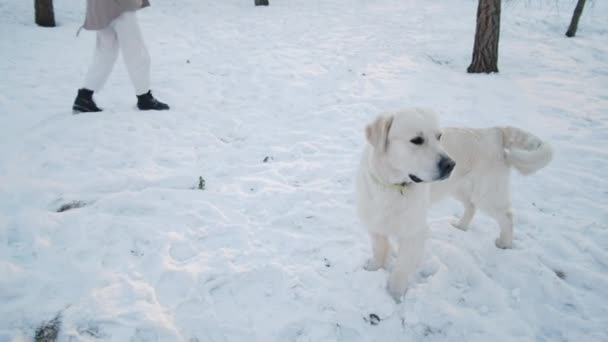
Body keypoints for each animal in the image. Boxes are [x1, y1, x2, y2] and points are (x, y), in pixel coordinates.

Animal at [356, 108, 552, 300]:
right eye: (417, 140)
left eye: (439, 137)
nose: (450, 164)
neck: (392, 186)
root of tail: (494, 132)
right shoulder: (375, 222)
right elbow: (379, 250)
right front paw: (373, 269)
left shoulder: (414, 233)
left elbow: (401, 269)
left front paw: (394, 295)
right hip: (459, 189)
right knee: (471, 206)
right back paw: (461, 226)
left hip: (487, 194)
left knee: (507, 216)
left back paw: (505, 242)